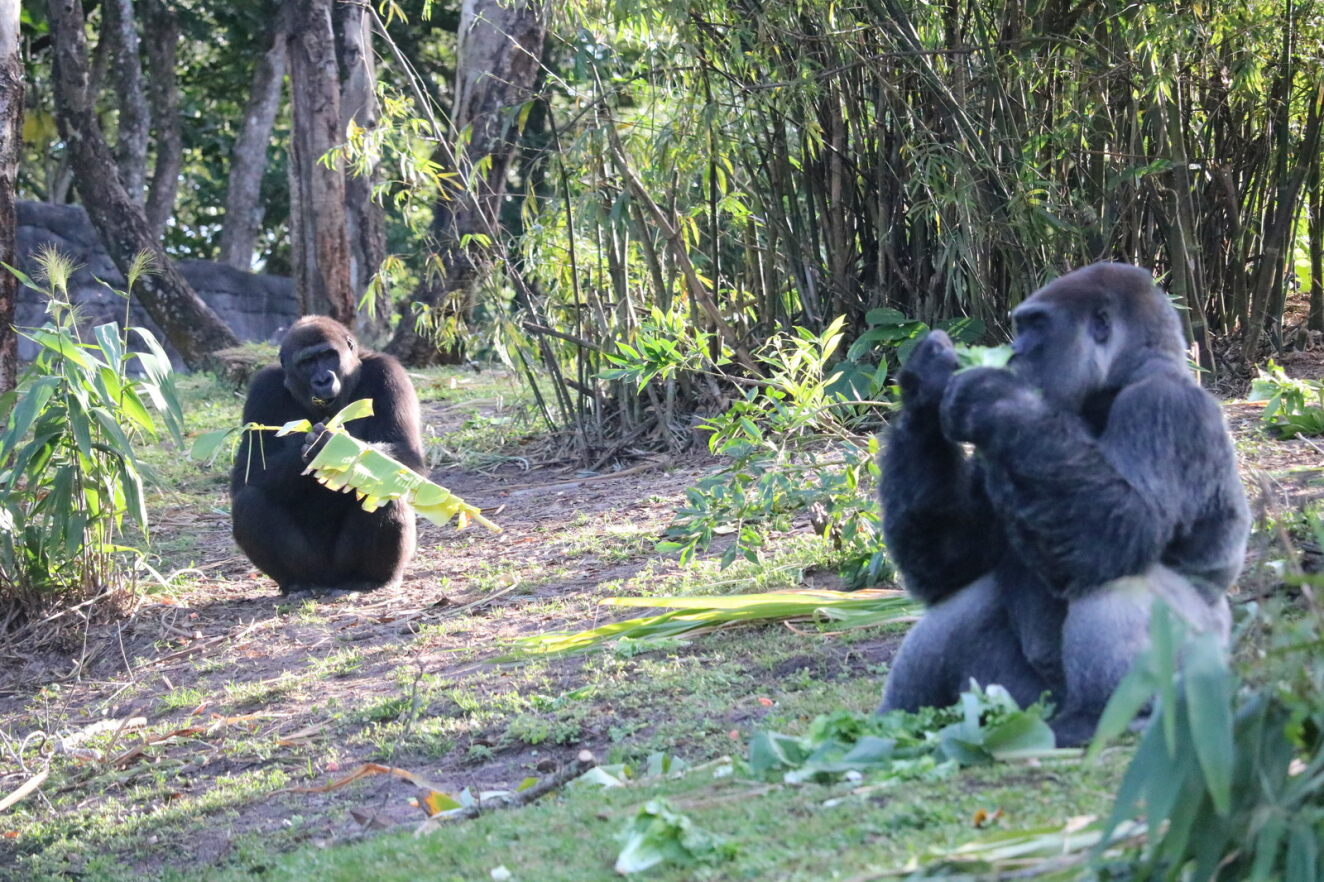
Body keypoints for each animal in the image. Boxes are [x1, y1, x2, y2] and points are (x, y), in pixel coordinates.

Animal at [230, 312, 426, 593]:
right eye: (308, 362)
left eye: (328, 355)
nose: (323, 379)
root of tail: (332, 579)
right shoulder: (262, 388)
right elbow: (248, 474)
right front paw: (314, 449)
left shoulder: (389, 372)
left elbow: (408, 458)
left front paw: (336, 448)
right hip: (315, 567)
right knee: (249, 501)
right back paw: (299, 583)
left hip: (345, 566)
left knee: (386, 486)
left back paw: (374, 578)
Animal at [879, 260, 1249, 741]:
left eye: (1036, 325)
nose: (1014, 350)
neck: (1112, 387)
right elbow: (948, 563)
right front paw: (926, 386)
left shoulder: (1164, 406)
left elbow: (1125, 527)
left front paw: (993, 397)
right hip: (1023, 705)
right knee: (964, 600)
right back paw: (899, 719)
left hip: (1204, 674)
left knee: (1119, 576)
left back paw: (1111, 714)